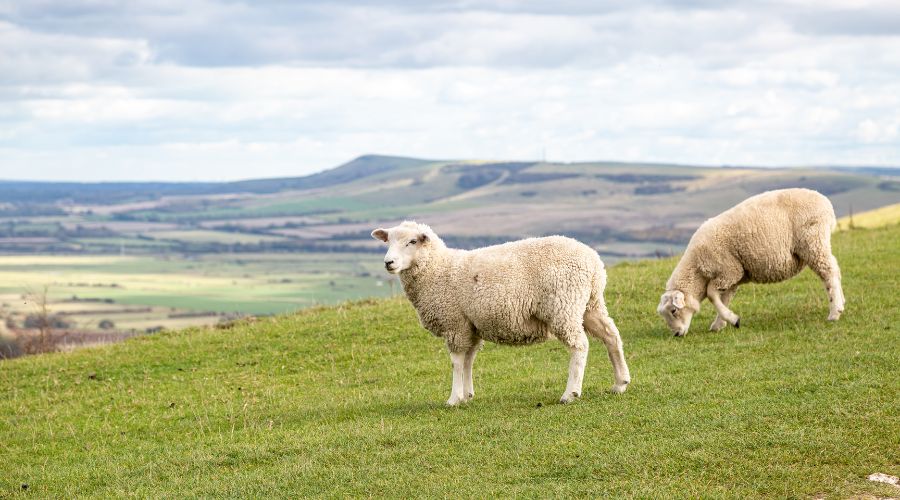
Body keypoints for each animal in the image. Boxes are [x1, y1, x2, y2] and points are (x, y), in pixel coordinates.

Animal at [370, 221, 628, 404]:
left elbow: (456, 362)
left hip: (563, 305)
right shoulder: (470, 325)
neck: (437, 269)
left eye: (412, 241)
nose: (388, 262)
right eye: (388, 241)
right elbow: (468, 360)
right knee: (611, 336)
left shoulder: (454, 323)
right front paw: (467, 395)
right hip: (589, 305)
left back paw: (570, 393)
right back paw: (620, 383)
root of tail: (593, 262)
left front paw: (454, 398)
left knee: (579, 345)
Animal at [652, 189, 844, 338]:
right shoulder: (731, 279)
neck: (697, 270)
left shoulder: (729, 270)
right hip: (818, 243)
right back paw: (841, 303)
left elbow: (712, 294)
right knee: (834, 269)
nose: (676, 334)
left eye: (674, 310)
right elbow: (724, 299)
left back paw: (835, 311)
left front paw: (732, 320)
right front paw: (721, 323)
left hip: (813, 242)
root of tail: (826, 203)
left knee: (829, 272)